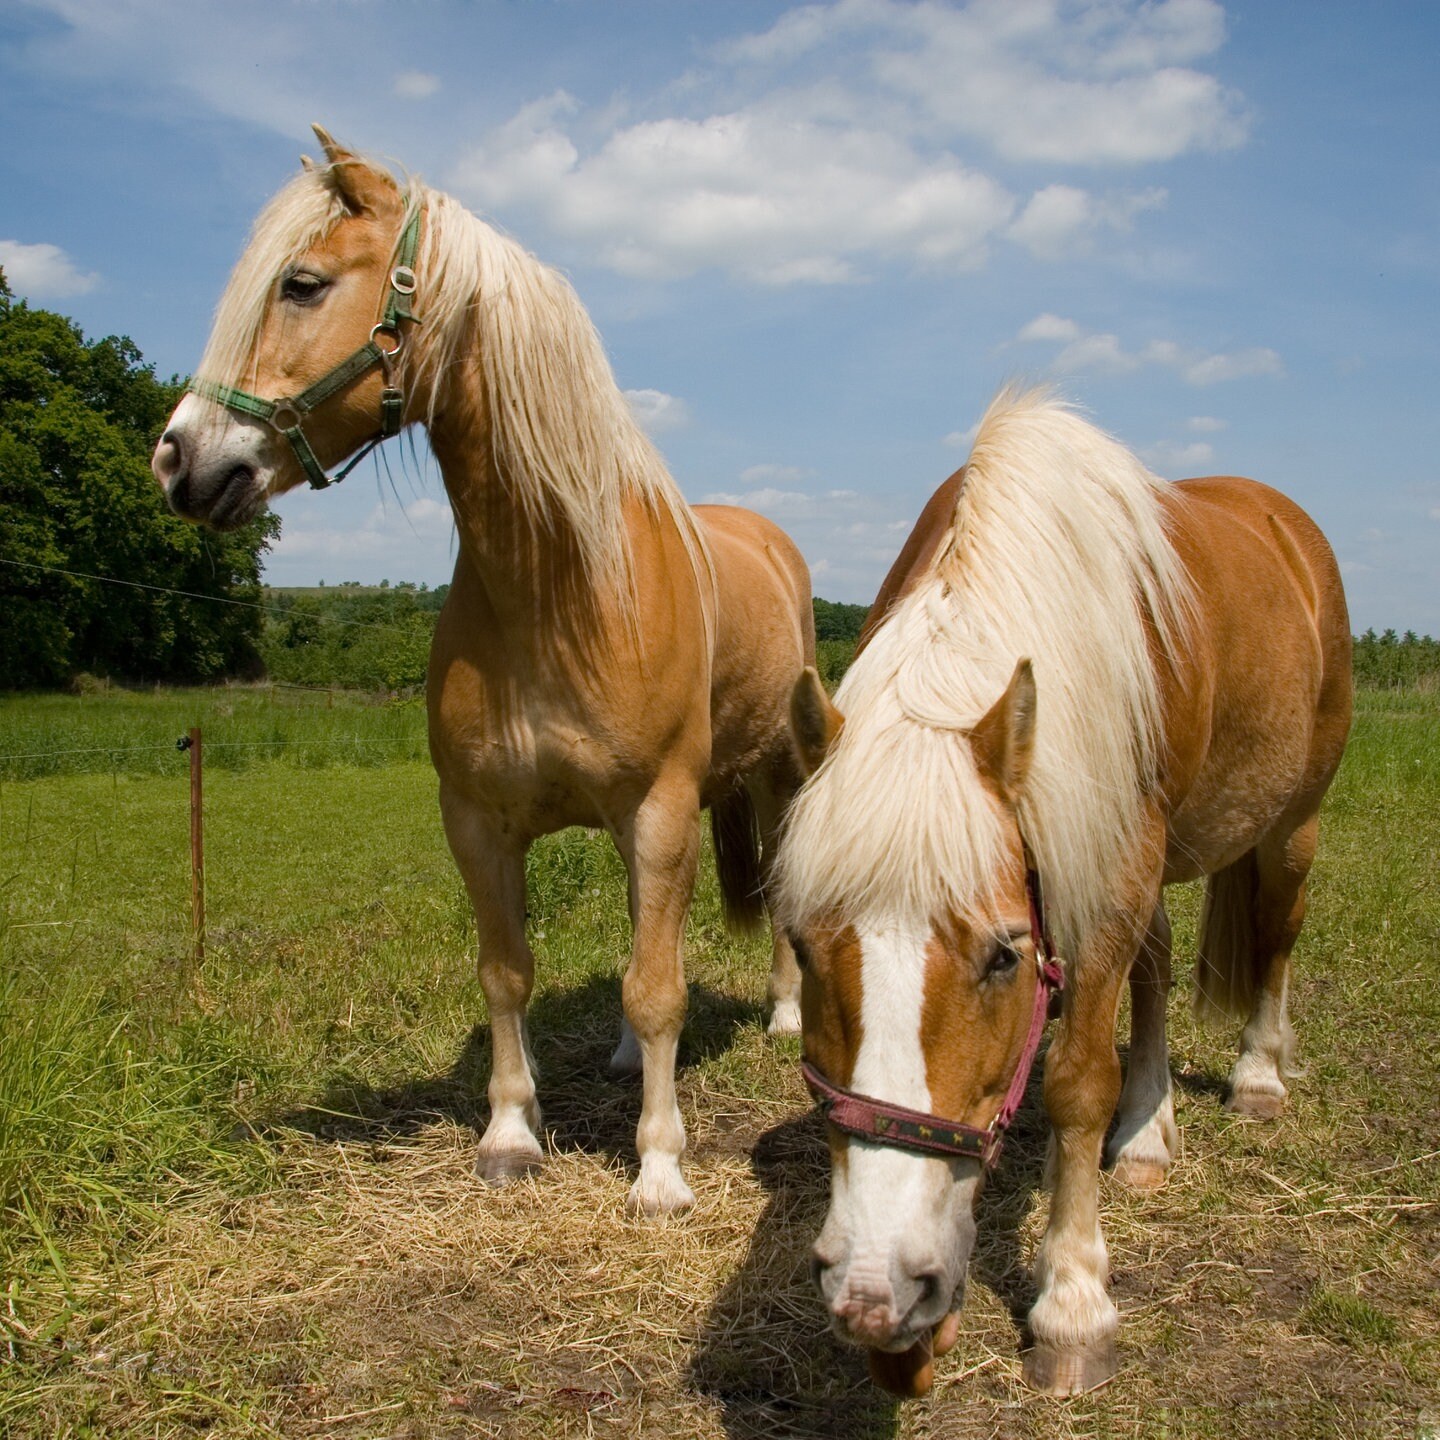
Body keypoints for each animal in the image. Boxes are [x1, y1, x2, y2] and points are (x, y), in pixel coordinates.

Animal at [156, 132, 817, 1215]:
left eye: (302, 283)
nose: (180, 461)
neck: (563, 588)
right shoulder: (477, 817)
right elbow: (511, 970)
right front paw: (510, 1135)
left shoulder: (662, 808)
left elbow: (661, 988)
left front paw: (660, 1170)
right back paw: (628, 1057)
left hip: (773, 778)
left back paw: (787, 1017)